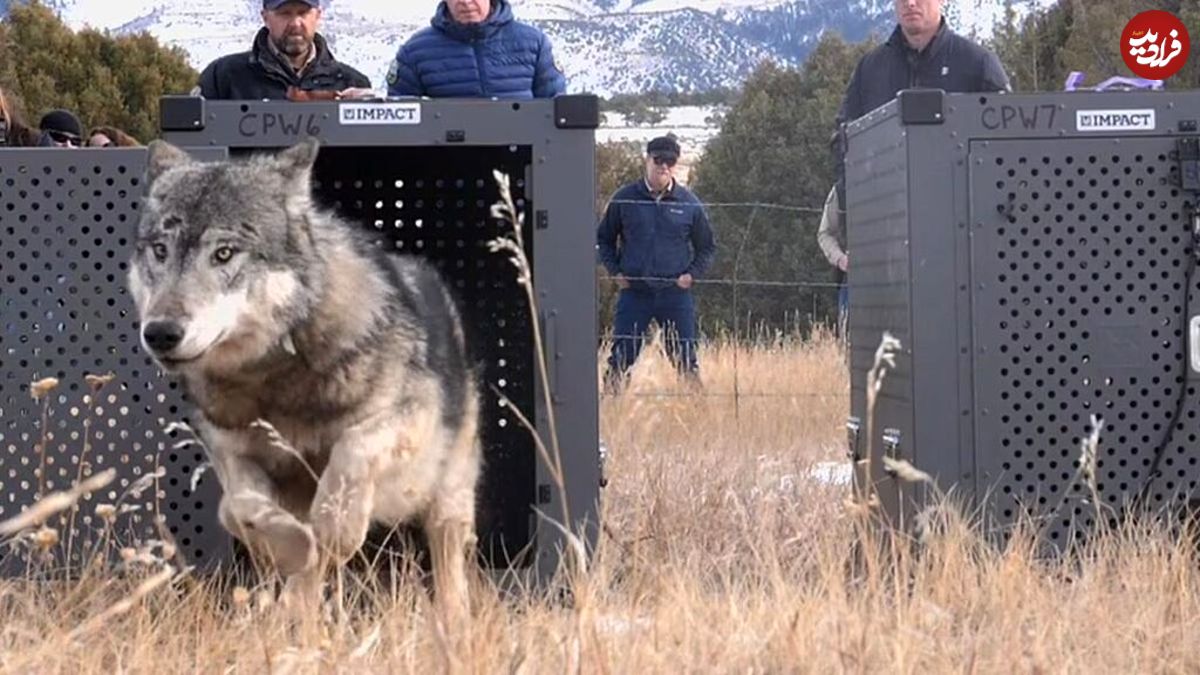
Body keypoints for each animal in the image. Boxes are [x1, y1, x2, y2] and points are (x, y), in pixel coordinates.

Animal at [130, 133, 482, 612]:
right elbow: (239, 509)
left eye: (224, 253)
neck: (275, 380)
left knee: (450, 569)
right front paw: (294, 547)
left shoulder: (408, 419)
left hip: (448, 499)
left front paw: (337, 527)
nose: (161, 333)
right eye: (160, 251)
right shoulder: (230, 450)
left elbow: (352, 452)